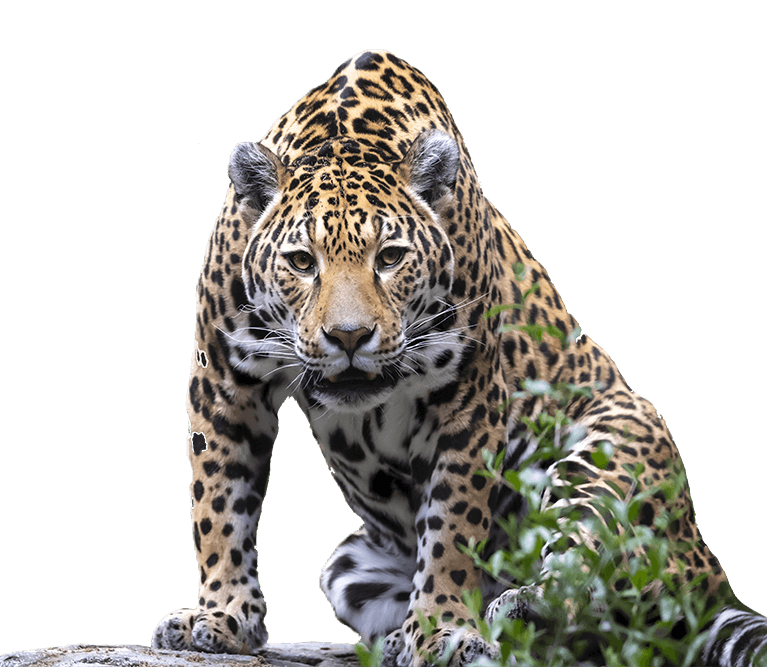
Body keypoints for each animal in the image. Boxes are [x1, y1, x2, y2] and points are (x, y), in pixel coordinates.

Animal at [153, 49, 766, 666]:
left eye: (391, 257)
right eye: (302, 262)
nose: (349, 337)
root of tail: (708, 570)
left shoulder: (468, 396)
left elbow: (453, 525)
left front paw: (441, 627)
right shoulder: (223, 382)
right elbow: (217, 505)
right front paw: (223, 615)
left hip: (613, 449)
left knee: (597, 600)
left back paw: (519, 611)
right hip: (347, 565)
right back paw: (404, 634)